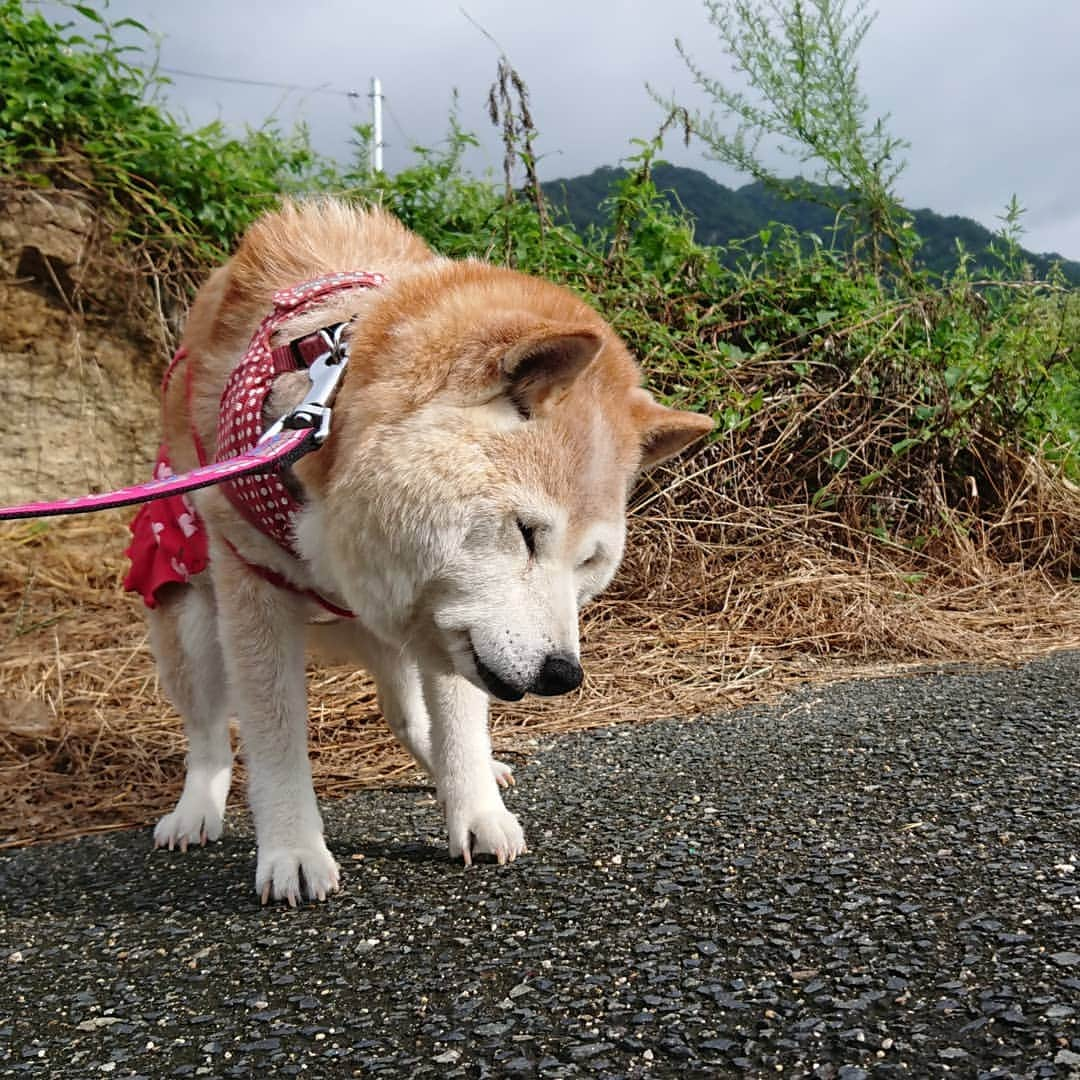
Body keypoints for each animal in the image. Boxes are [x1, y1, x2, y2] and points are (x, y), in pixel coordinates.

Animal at [132, 200, 708, 902]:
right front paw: (293, 848)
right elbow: (273, 734)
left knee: (406, 714)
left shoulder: (449, 610)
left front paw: (476, 809)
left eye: (589, 563)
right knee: (211, 735)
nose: (562, 676)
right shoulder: (253, 587)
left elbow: (457, 720)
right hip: (190, 616)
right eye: (526, 532)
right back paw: (195, 811)